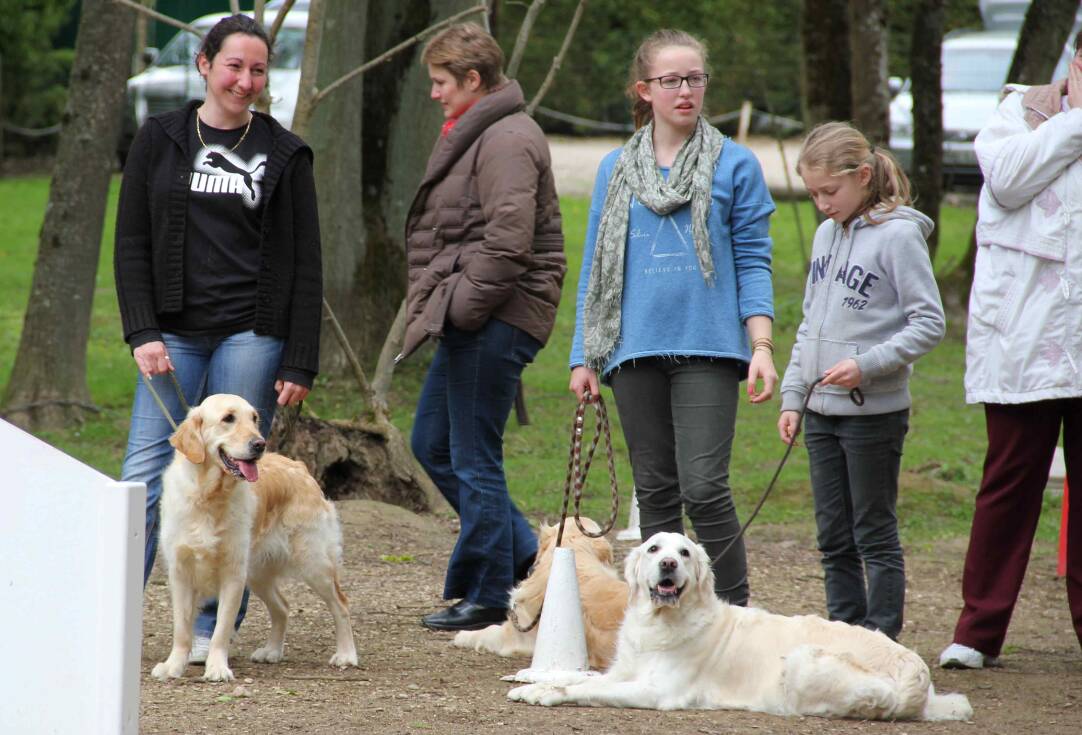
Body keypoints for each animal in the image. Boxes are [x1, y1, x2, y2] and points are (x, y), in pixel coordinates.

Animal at [150, 394, 359, 679]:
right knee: (283, 607)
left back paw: (346, 655)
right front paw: (173, 666)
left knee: (341, 604)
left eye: (254, 418)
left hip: (313, 563)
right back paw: (272, 651)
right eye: (228, 418)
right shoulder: (180, 571)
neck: (209, 495)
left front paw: (217, 668)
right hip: (259, 572)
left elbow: (221, 630)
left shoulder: (234, 573)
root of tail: (299, 466)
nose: (260, 444)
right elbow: (181, 629)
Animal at [506, 532, 973, 723]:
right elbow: (577, 676)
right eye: (655, 548)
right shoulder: (623, 670)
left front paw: (545, 694)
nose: (668, 564)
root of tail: (917, 672)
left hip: (801, 660)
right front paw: (533, 683)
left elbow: (587, 689)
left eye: (685, 553)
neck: (662, 622)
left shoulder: (655, 692)